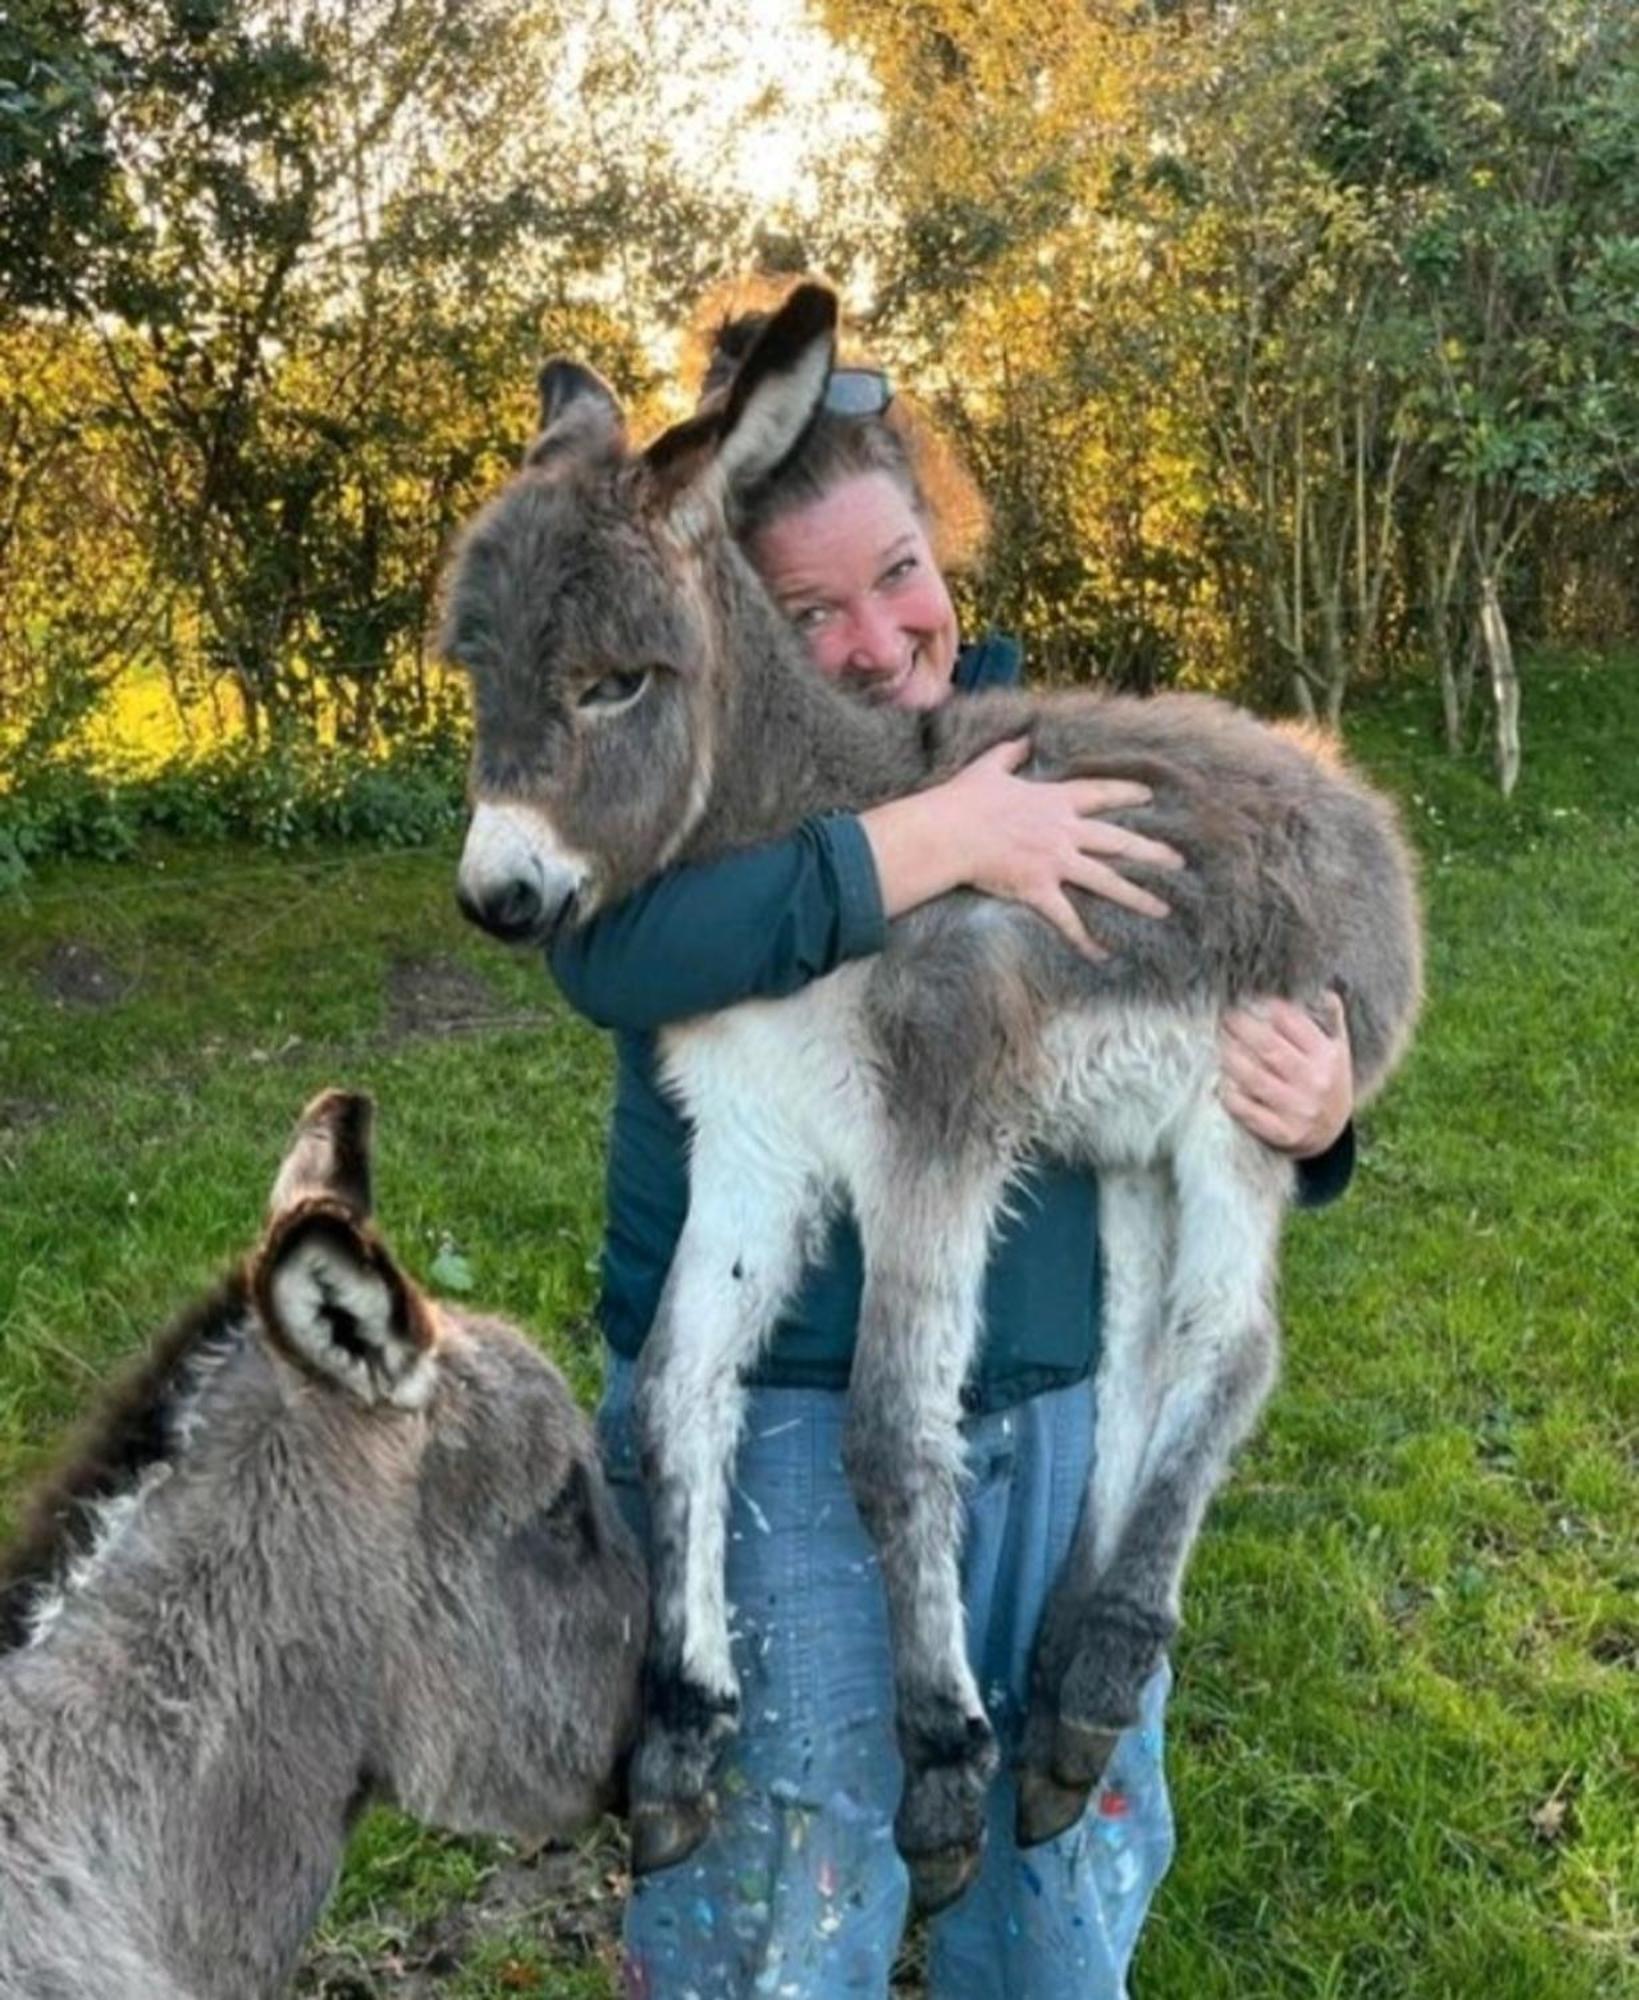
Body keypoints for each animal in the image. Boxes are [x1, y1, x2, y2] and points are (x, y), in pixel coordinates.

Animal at [447, 290, 1423, 1912]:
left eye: (616, 681)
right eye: (474, 673)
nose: (500, 898)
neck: (825, 819)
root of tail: (1336, 779)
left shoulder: (931, 1130)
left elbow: (891, 1426)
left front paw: (942, 1754)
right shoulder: (755, 1140)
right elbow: (679, 1387)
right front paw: (685, 1724)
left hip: (1244, 1105)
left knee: (1231, 1349)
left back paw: (1089, 1676)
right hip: (1123, 1152)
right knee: (1141, 1361)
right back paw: (1071, 1654)